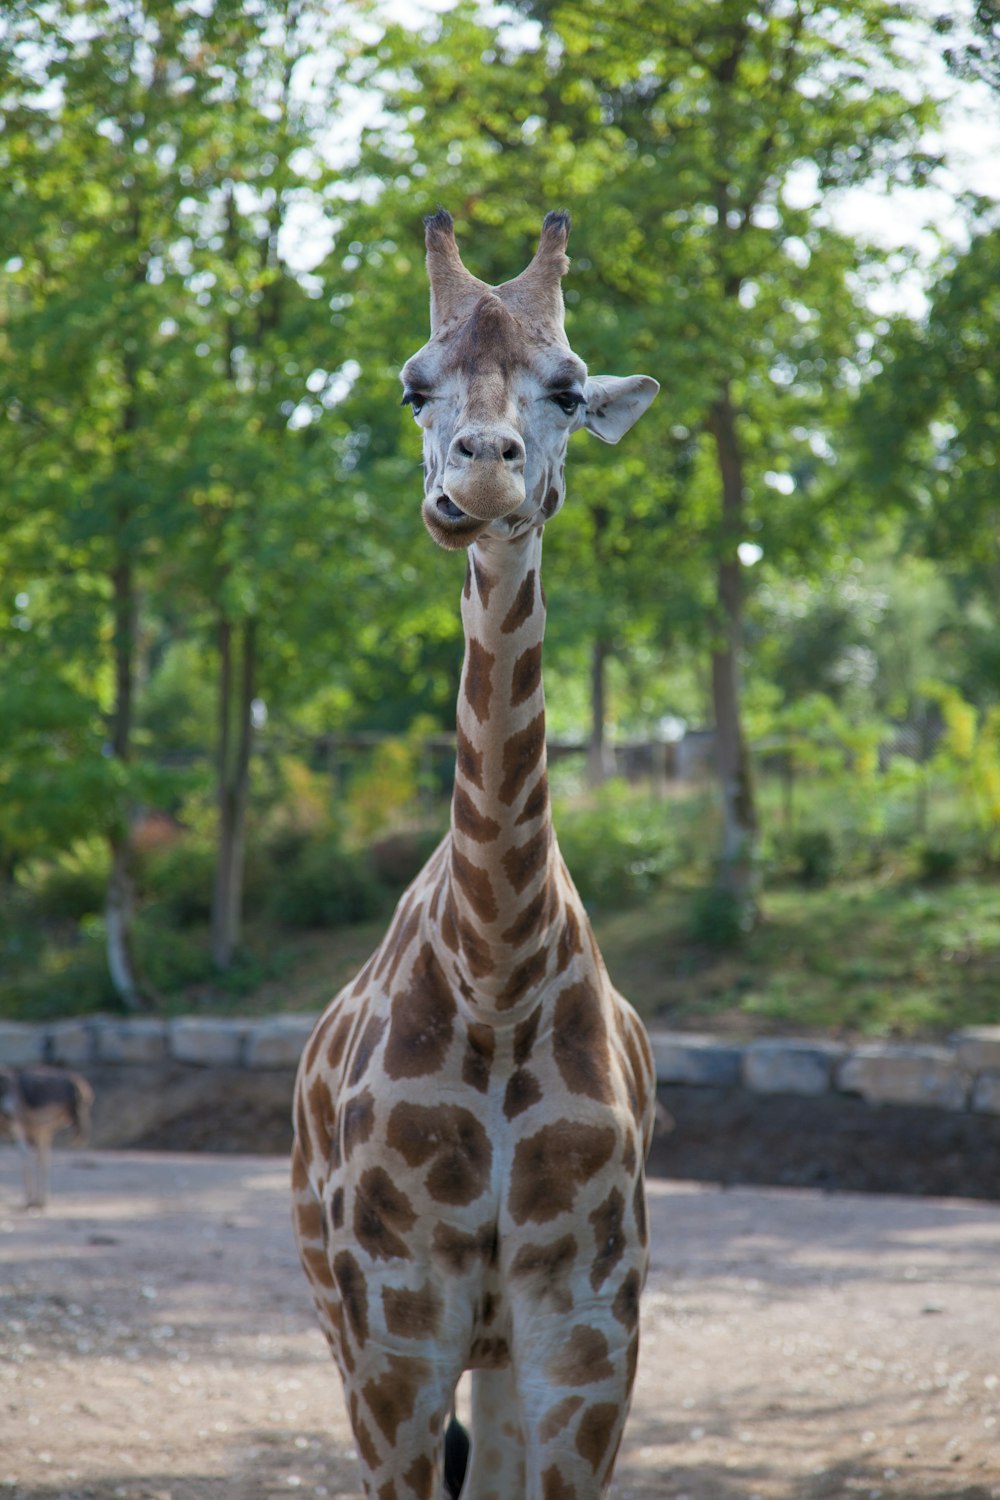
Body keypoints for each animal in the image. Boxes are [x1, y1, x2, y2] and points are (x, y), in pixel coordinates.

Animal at [0, 1068, 92, 1206]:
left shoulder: (24, 1127)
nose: (8, 1112)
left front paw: (33, 1200)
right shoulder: (36, 1129)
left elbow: (31, 1158)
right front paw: (37, 1200)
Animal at [293, 211, 659, 1500]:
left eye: (568, 389)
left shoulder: (587, 1333)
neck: (496, 968)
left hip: (503, 1354)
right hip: (344, 1314)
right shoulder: (392, 1335)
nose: (482, 473)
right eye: (414, 387)